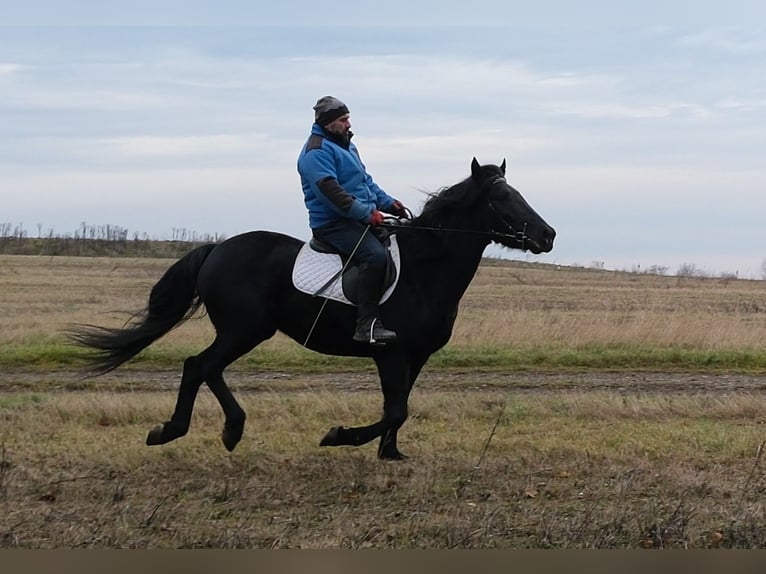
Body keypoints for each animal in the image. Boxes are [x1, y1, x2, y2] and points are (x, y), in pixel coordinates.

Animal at [70, 158, 556, 460]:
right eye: (503, 199)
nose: (547, 235)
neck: (425, 268)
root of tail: (216, 250)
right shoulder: (390, 352)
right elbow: (394, 409)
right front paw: (340, 436)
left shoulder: (415, 356)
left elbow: (398, 407)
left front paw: (390, 452)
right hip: (244, 330)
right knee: (199, 366)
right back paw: (178, 430)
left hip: (244, 331)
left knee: (208, 369)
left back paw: (229, 429)